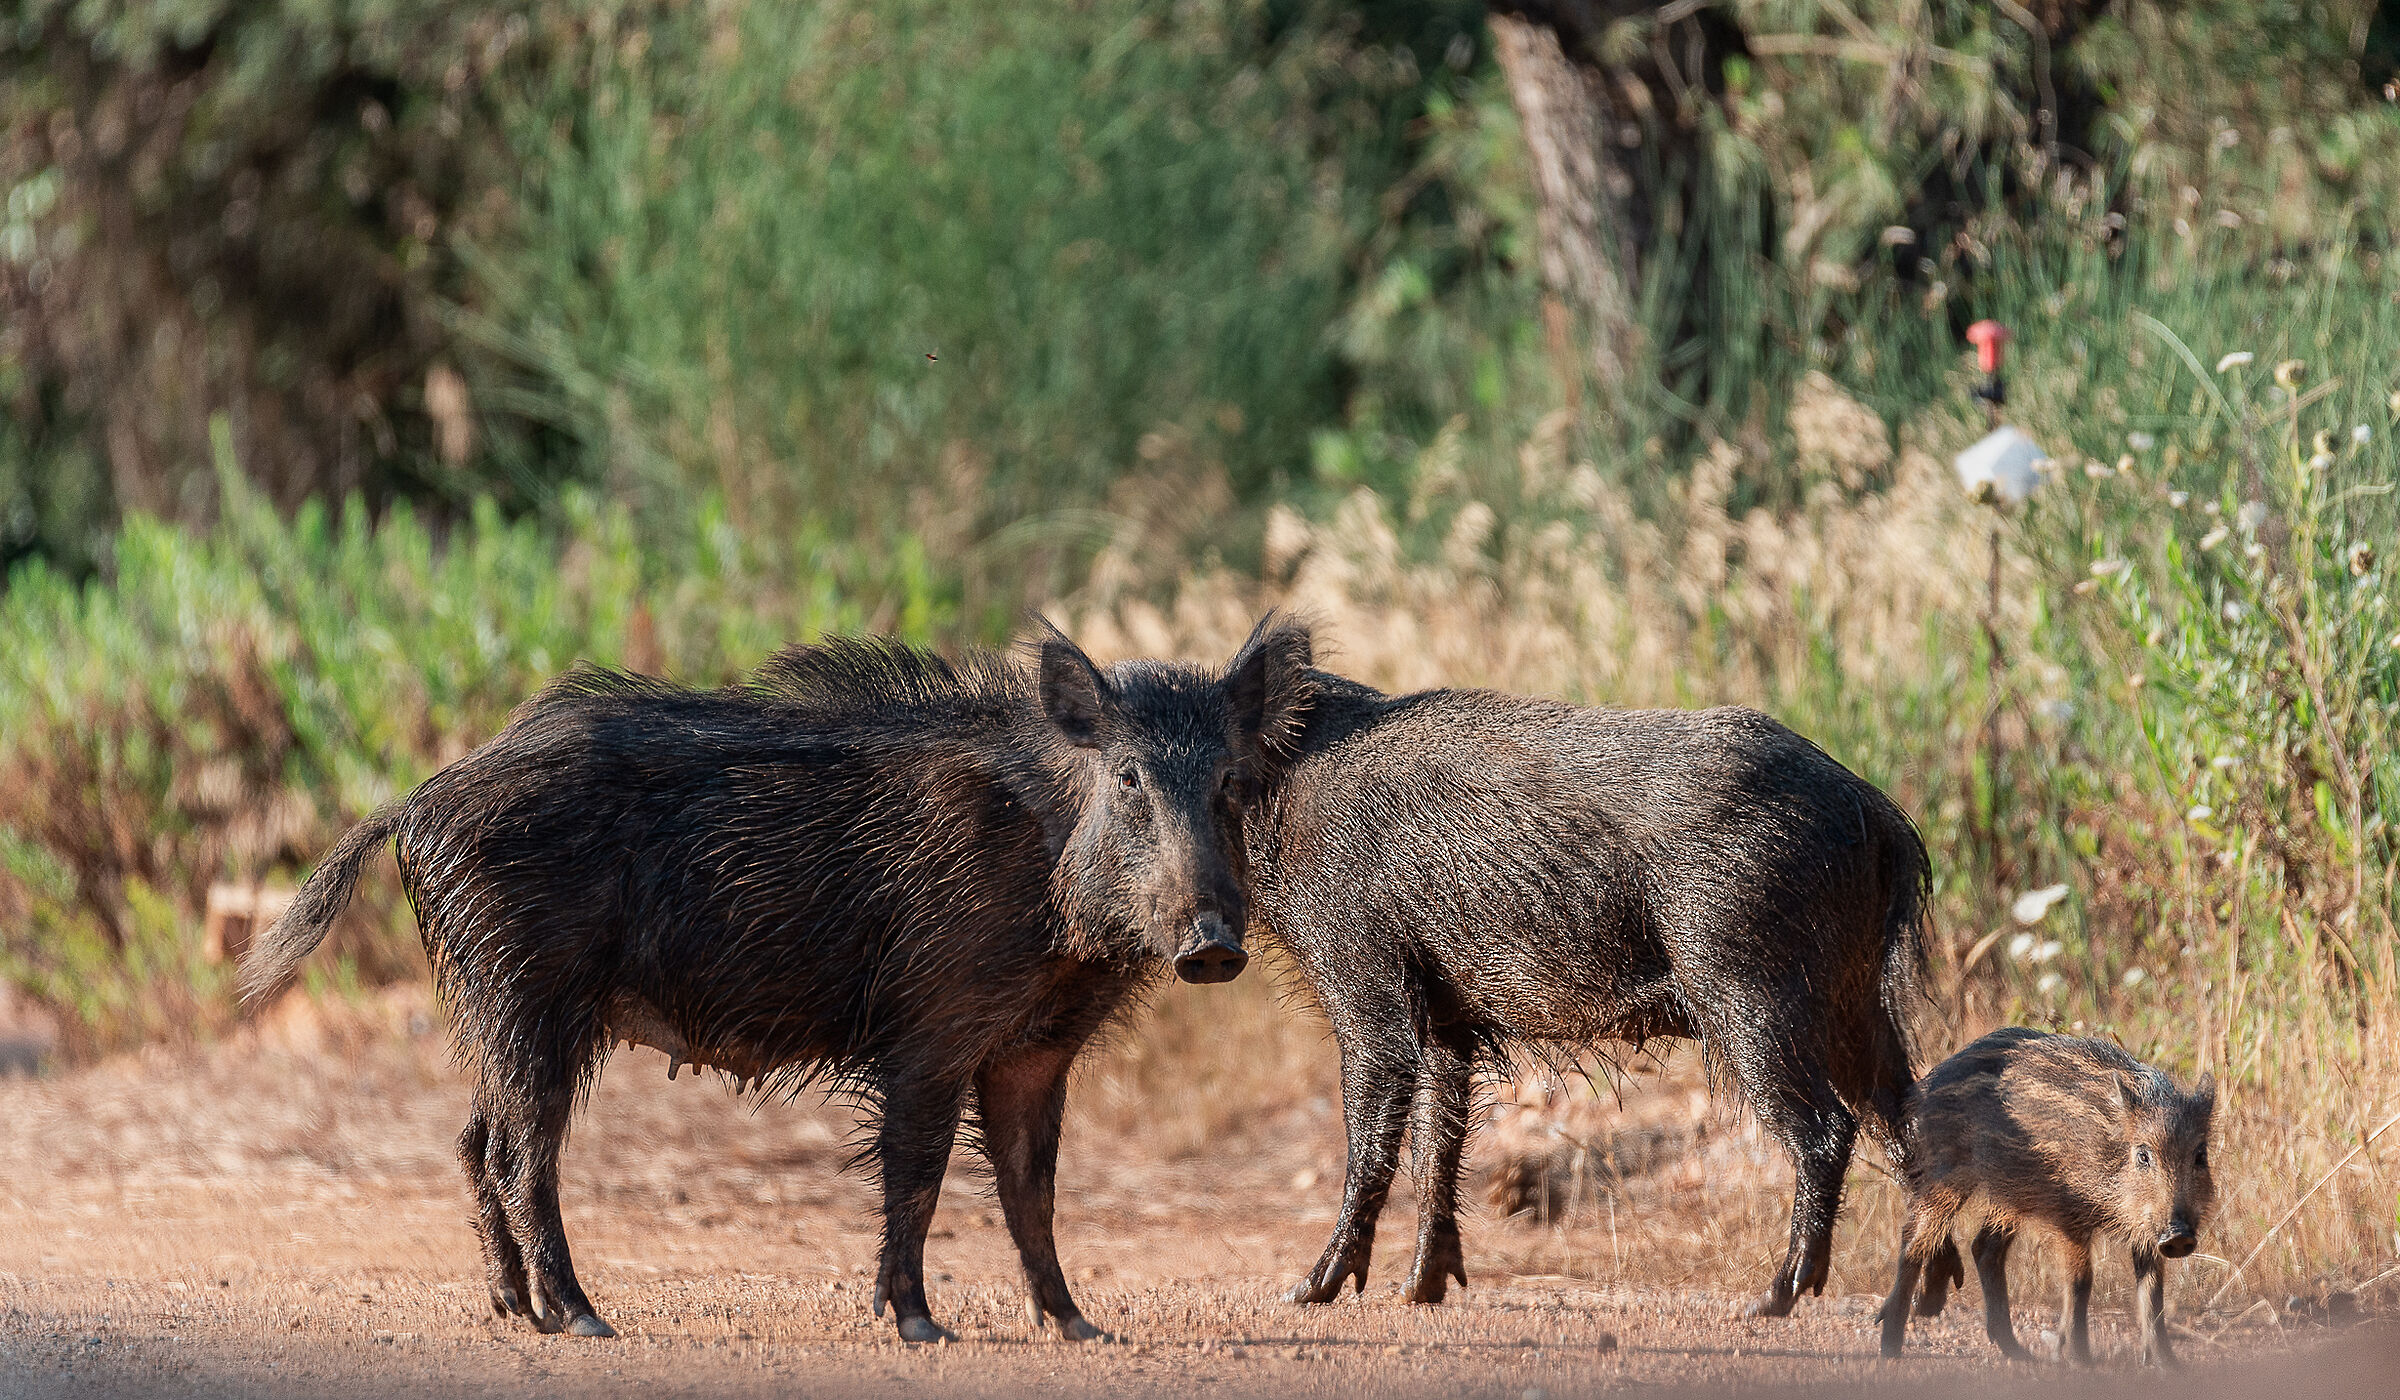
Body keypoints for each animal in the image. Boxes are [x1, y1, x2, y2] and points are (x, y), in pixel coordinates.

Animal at [240, 618, 1315, 1343]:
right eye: (1129, 777)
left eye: (1230, 782)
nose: (1214, 944)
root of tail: (417, 800)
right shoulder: (929, 1027)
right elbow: (920, 1174)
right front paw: (918, 1325)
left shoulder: (1033, 1050)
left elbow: (1032, 1189)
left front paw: (1081, 1326)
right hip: (528, 990)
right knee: (520, 1153)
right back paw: (584, 1318)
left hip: (500, 1003)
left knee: (474, 1136)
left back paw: (518, 1312)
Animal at [1879, 1027, 2217, 1366]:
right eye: (2143, 1155)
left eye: (2200, 1155)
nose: (2179, 1235)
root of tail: (1930, 1080)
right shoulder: (2068, 1214)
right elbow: (2080, 1282)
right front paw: (2081, 1361)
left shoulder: (2145, 1228)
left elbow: (2152, 1292)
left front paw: (2169, 1366)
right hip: (1947, 1172)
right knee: (1914, 1240)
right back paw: (1890, 1349)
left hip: (2009, 1194)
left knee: (1984, 1248)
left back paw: (2019, 1354)